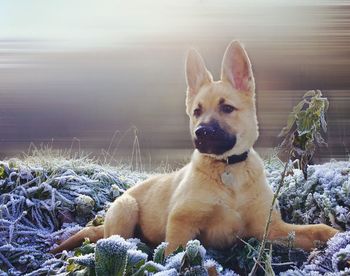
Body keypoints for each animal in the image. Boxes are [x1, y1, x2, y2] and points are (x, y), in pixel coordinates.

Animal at [51, 40, 336, 256]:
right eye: (197, 111)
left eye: (227, 108)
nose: (201, 133)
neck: (228, 169)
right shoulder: (182, 222)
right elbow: (173, 255)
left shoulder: (271, 228)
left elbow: (316, 229)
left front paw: (337, 237)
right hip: (125, 208)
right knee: (109, 240)